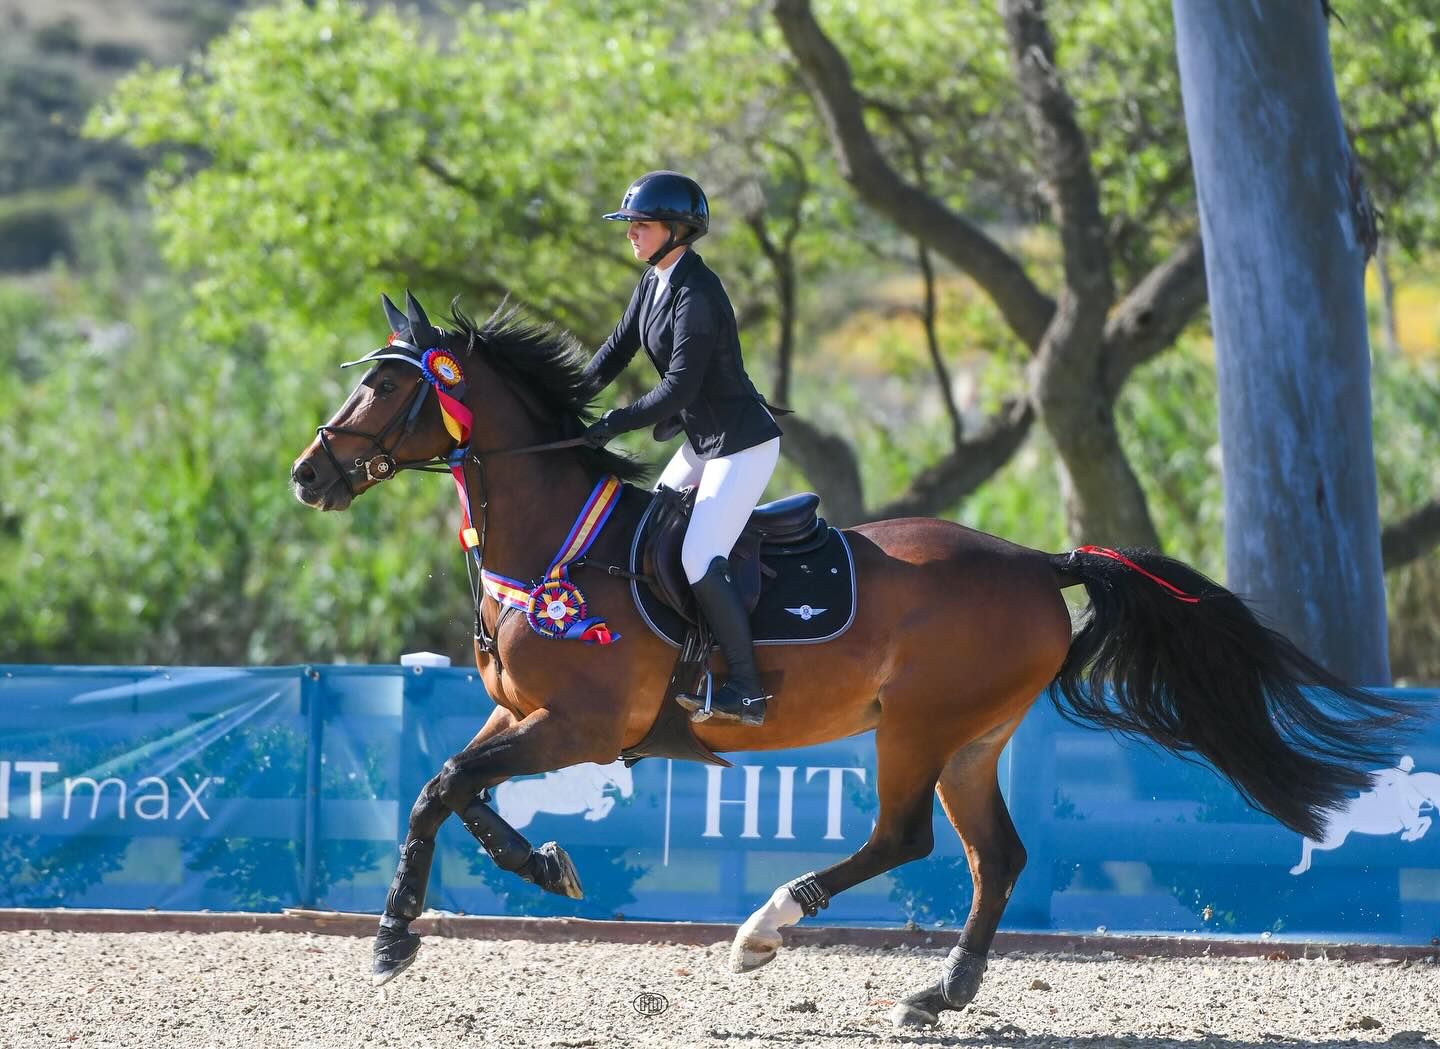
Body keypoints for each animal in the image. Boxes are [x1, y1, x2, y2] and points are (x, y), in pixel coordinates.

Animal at [289, 292, 1412, 1028]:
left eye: (386, 388)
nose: (309, 475)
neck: (553, 536)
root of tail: (1036, 560)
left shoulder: (584, 724)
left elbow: (443, 784)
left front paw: (394, 940)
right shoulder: (521, 714)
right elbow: (455, 791)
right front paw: (533, 869)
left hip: (919, 727)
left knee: (904, 837)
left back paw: (765, 929)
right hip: (973, 739)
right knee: (996, 857)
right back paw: (937, 991)